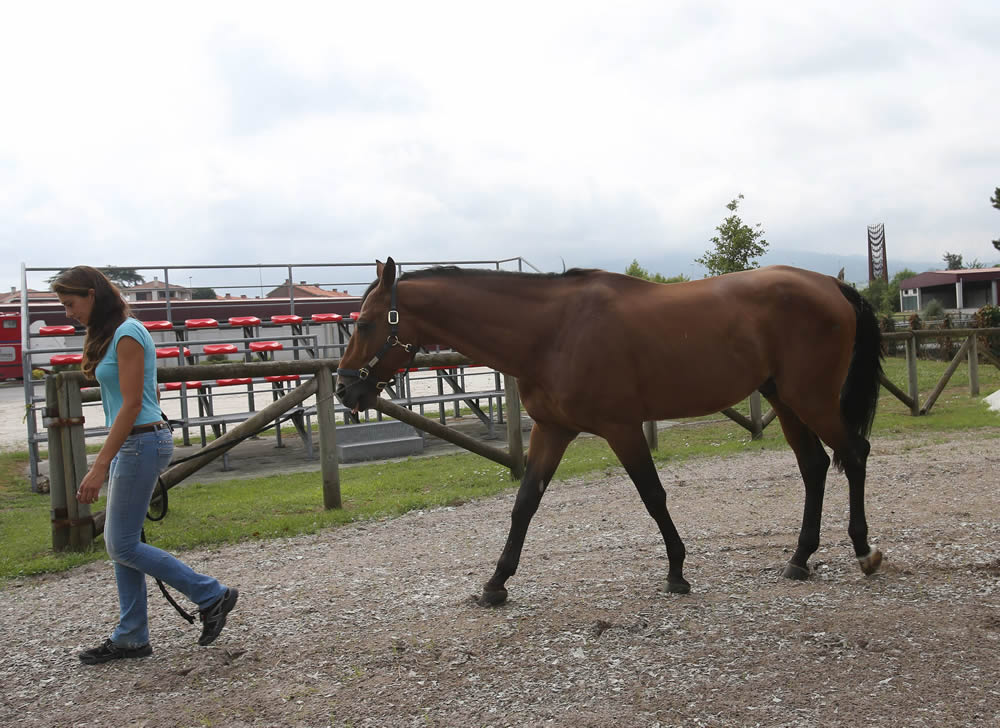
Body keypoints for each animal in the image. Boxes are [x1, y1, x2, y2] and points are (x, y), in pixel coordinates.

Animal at [334, 258, 884, 604]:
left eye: (363, 323)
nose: (343, 389)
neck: (552, 331)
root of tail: (831, 285)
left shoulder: (621, 428)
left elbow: (653, 496)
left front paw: (677, 572)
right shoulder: (552, 431)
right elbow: (525, 504)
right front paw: (496, 583)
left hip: (810, 398)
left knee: (855, 453)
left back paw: (863, 551)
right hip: (784, 400)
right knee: (815, 466)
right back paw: (799, 558)